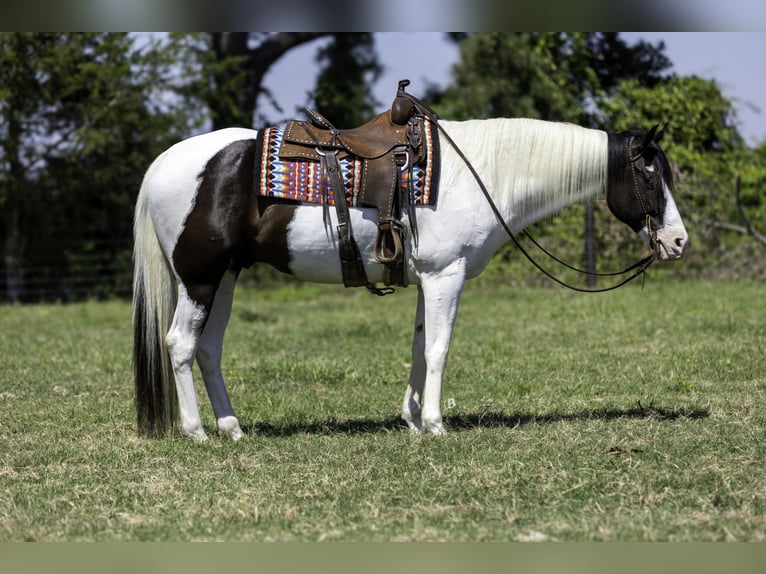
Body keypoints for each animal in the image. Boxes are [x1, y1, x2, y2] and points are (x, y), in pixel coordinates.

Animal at [132, 102, 688, 440]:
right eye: (650, 175)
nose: (678, 241)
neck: (481, 172)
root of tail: (161, 163)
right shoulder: (446, 276)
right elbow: (440, 348)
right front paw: (437, 425)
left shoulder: (430, 280)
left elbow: (421, 346)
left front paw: (413, 419)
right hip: (199, 278)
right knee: (180, 343)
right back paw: (197, 432)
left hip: (226, 277)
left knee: (208, 348)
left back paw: (231, 428)